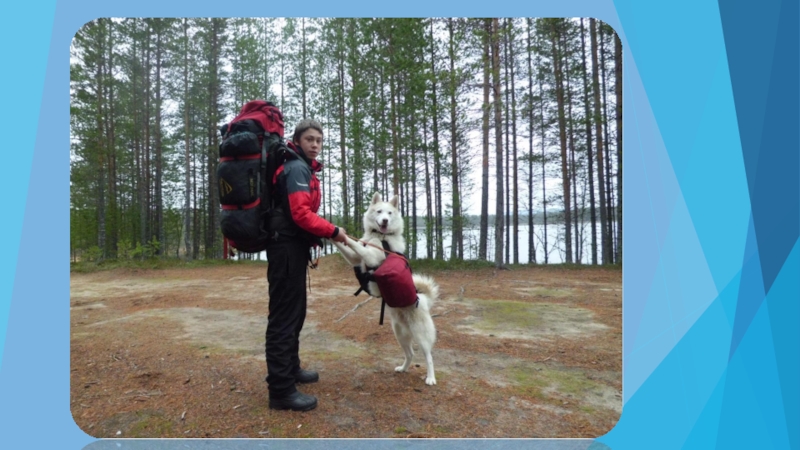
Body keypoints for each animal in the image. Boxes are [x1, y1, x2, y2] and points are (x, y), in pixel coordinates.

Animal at [332, 193, 439, 386]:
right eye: (379, 211)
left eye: (389, 213)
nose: (384, 221)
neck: (381, 238)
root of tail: (423, 299)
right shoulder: (355, 259)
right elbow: (348, 247)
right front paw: (334, 231)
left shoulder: (371, 256)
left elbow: (355, 244)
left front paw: (343, 235)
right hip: (399, 334)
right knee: (410, 354)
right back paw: (403, 369)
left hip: (421, 335)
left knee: (429, 356)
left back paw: (430, 378)